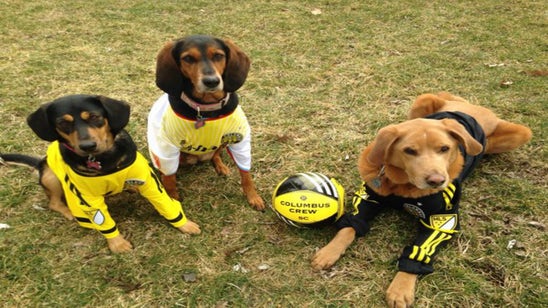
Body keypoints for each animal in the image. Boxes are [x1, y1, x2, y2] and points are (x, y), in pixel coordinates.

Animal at [146, 35, 266, 211]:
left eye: (218, 55)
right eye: (188, 58)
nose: (211, 81)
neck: (206, 110)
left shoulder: (240, 140)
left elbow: (246, 175)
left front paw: (253, 197)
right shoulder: (166, 148)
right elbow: (169, 179)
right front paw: (172, 199)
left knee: (215, 155)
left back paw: (221, 166)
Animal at [314, 92, 532, 308]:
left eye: (444, 148)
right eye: (409, 151)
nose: (437, 180)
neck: (402, 187)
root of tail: (470, 106)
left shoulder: (442, 222)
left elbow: (419, 250)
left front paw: (401, 287)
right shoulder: (369, 198)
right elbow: (350, 227)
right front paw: (329, 251)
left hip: (519, 134)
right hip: (423, 100)